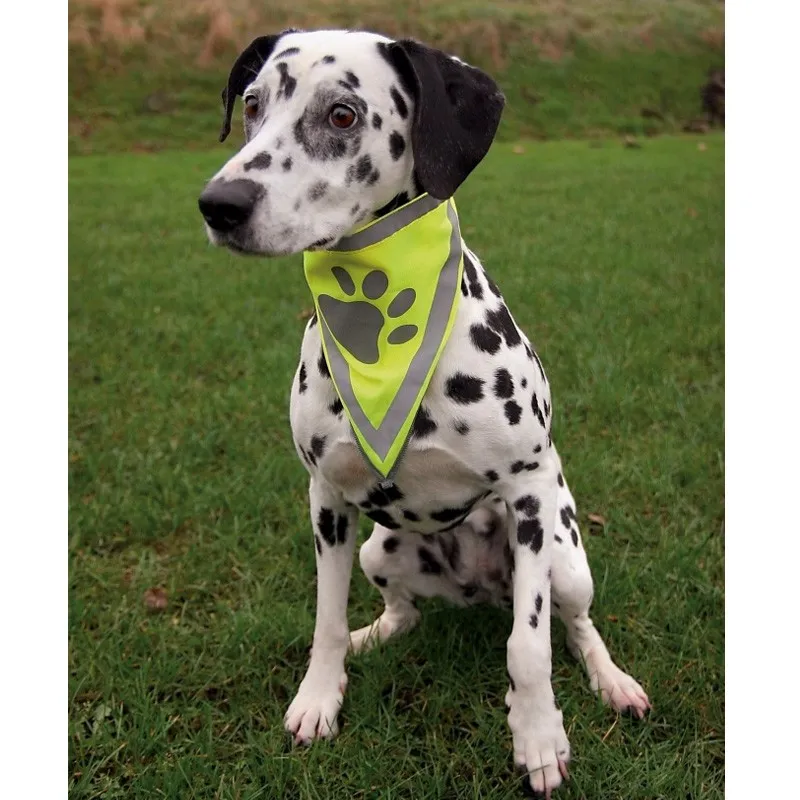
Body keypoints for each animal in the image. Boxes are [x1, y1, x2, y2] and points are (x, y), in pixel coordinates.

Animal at [198, 28, 648, 796]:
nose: (219, 203)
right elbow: (324, 618)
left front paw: (538, 737)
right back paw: (373, 636)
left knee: (577, 625)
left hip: (566, 557)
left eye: (343, 114)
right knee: (401, 610)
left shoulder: (530, 492)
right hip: (380, 549)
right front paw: (319, 696)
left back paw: (611, 681)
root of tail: (477, 590)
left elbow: (529, 648)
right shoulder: (326, 500)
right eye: (253, 103)